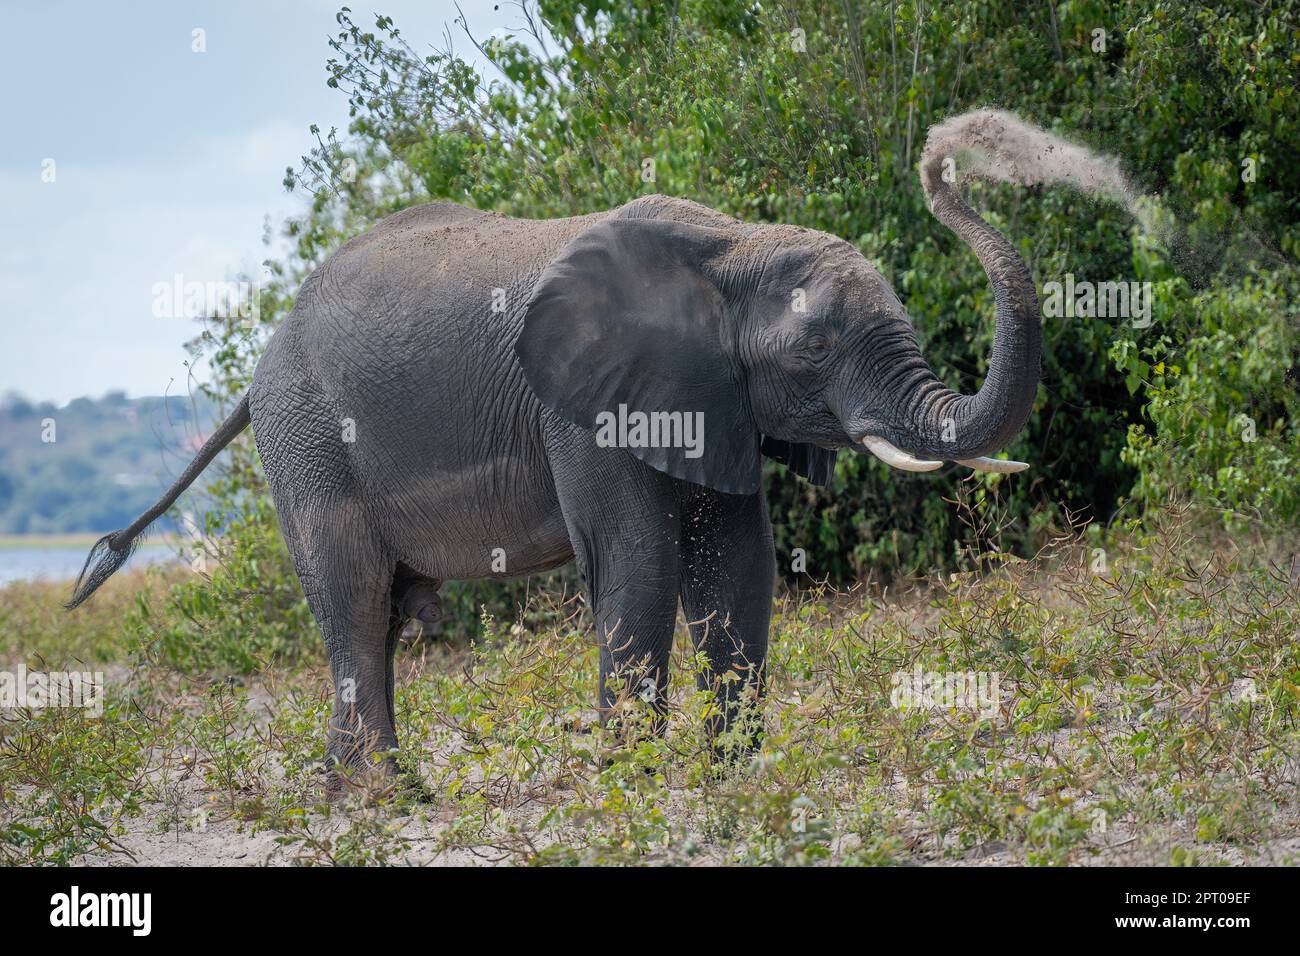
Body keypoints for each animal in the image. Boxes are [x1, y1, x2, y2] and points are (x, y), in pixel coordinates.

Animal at [70, 108, 1122, 785]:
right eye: (817, 349)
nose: (949, 162)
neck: (728, 246)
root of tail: (262, 364)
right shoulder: (579, 406)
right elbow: (640, 559)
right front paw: (638, 786)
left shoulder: (712, 401)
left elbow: (738, 562)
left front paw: (731, 778)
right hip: (307, 436)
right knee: (357, 603)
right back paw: (378, 800)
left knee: (382, 616)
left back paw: (357, 795)